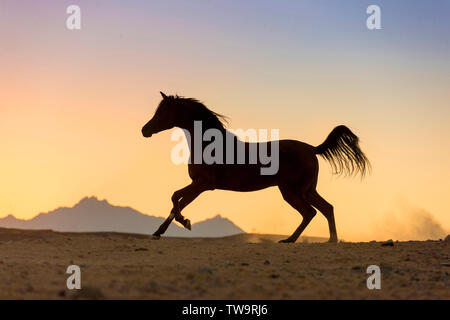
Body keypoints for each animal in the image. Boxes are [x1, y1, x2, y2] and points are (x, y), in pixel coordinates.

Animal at [142, 91, 370, 244]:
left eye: (162, 112)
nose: (145, 130)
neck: (208, 144)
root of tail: (312, 149)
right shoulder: (198, 184)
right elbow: (177, 202)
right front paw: (160, 231)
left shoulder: (203, 184)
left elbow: (175, 198)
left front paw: (185, 222)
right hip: (306, 190)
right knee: (326, 208)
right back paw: (330, 240)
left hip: (291, 191)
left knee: (310, 212)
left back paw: (290, 240)